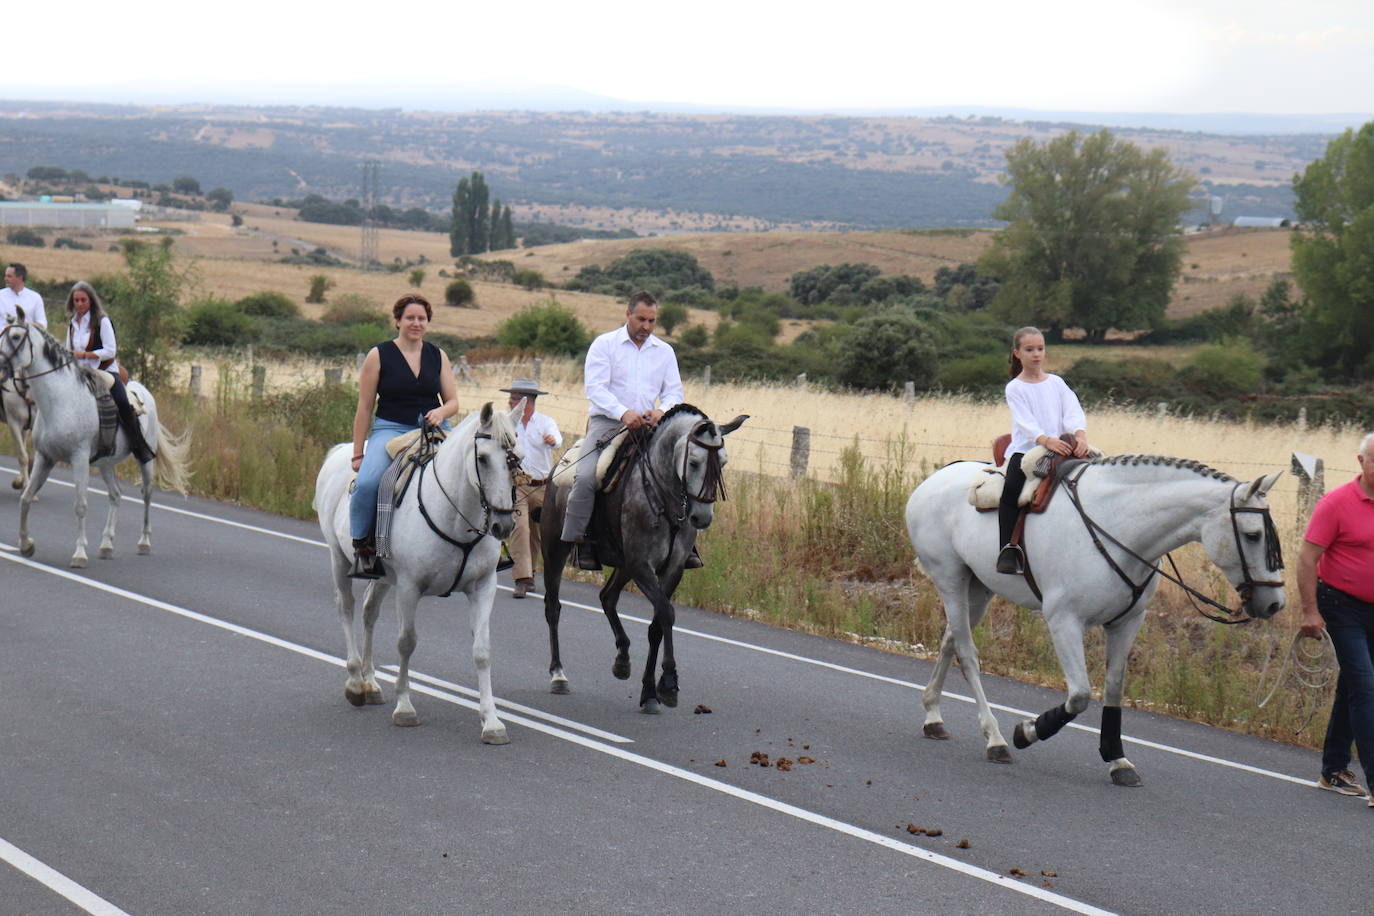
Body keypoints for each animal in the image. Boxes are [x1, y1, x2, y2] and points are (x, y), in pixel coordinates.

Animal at [0, 322, 193, 565]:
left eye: (16, 337)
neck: (61, 400)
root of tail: (144, 392)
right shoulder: (45, 457)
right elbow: (25, 498)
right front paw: (26, 545)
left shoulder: (79, 458)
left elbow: (81, 506)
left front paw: (79, 554)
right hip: (106, 464)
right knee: (116, 495)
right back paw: (106, 544)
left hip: (145, 461)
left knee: (147, 494)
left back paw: (144, 542)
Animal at [314, 403, 522, 747]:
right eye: (482, 458)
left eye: (514, 458)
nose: (503, 525)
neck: (455, 515)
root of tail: (340, 452)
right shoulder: (410, 588)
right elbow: (406, 643)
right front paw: (405, 708)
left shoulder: (483, 587)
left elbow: (482, 651)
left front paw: (492, 722)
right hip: (338, 559)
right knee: (346, 608)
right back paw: (356, 683)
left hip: (383, 577)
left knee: (369, 613)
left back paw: (371, 684)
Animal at [906, 455, 1280, 785]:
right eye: (1253, 535)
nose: (1275, 603)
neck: (1119, 526)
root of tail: (933, 479)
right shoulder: (1064, 621)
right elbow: (1080, 695)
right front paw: (1027, 732)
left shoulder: (1127, 623)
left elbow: (1113, 688)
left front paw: (1118, 760)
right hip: (951, 580)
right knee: (967, 653)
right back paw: (995, 738)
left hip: (979, 589)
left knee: (950, 641)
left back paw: (933, 717)